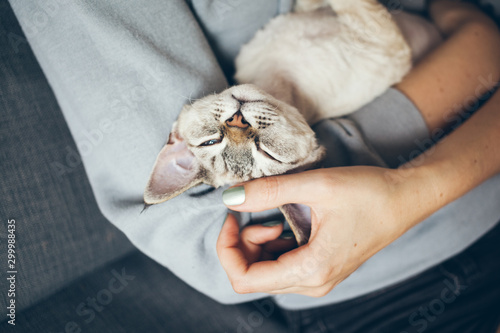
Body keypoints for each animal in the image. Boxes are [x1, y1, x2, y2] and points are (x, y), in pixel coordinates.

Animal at [143, 0, 440, 244]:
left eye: (211, 140)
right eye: (267, 152)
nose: (237, 121)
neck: (274, 76)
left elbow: (317, 4)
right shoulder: (381, 40)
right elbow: (353, 5)